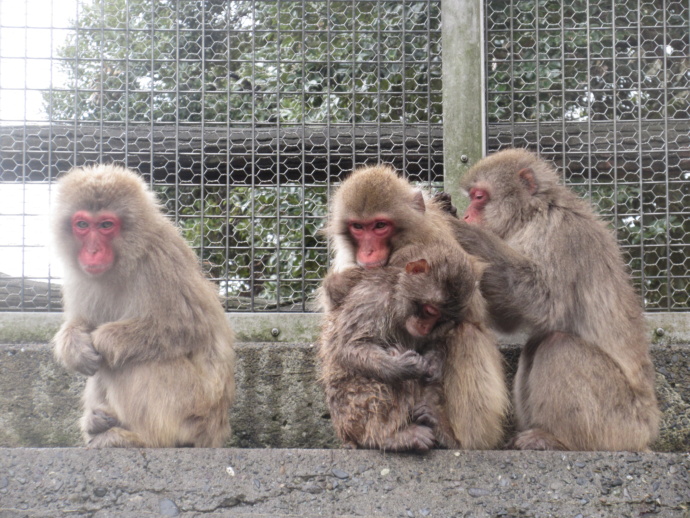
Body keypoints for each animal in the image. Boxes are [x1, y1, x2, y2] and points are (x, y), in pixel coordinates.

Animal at [52, 166, 235, 446]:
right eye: (82, 224)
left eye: (106, 225)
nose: (92, 251)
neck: (125, 260)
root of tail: (216, 432)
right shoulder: (80, 279)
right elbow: (83, 323)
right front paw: (73, 345)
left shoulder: (160, 261)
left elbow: (188, 327)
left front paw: (102, 339)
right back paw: (96, 424)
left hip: (192, 408)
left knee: (131, 358)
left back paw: (139, 439)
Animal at [318, 244, 476, 450]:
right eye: (430, 311)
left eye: (443, 319)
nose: (425, 327)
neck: (397, 302)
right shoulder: (373, 298)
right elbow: (348, 347)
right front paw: (403, 366)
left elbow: (435, 346)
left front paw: (433, 363)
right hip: (351, 412)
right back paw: (387, 436)